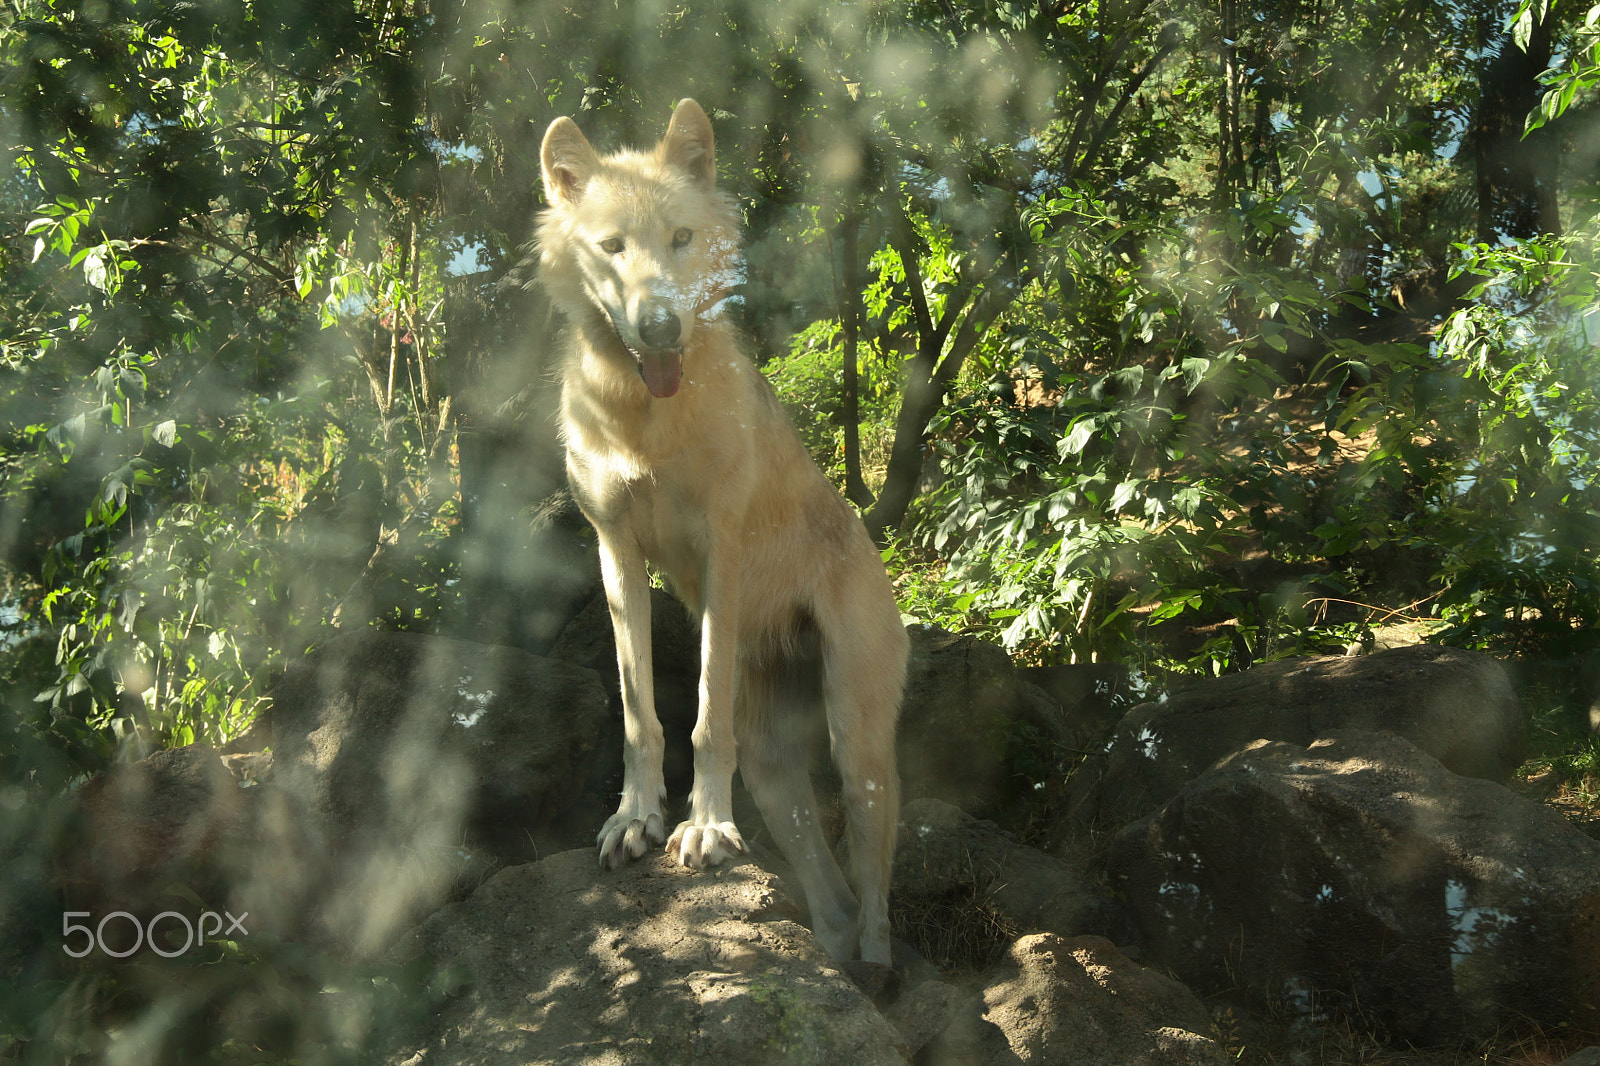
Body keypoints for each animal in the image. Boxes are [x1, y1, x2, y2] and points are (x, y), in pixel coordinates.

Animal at [536, 99, 907, 965]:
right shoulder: (615, 554)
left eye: (680, 238)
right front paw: (635, 819)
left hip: (858, 741)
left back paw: (877, 964)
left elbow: (703, 720)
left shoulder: (720, 551)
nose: (661, 325)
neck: (644, 420)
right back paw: (834, 953)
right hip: (776, 776)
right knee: (830, 893)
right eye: (613, 247)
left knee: (874, 871)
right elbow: (641, 715)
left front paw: (704, 828)